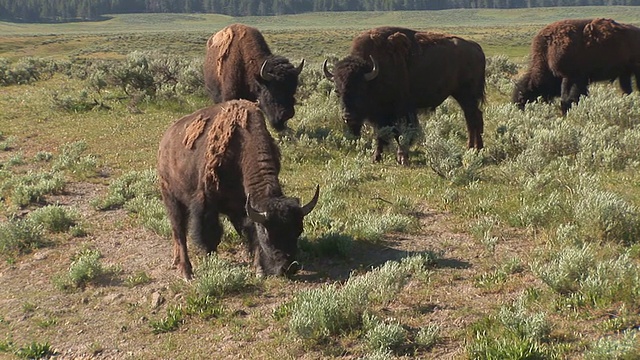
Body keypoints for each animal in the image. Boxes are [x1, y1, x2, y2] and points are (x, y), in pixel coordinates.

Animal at [157, 99, 320, 282]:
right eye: (268, 234)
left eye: (299, 230)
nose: (289, 268)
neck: (242, 147)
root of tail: (165, 141)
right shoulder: (207, 203)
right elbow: (211, 235)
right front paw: (211, 260)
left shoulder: (245, 207)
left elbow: (250, 235)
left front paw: (259, 270)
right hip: (171, 198)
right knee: (179, 231)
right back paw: (186, 272)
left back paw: (176, 261)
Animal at [324, 26, 484, 165]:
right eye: (337, 92)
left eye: (361, 89)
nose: (348, 117)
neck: (374, 73)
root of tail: (476, 47)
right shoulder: (381, 115)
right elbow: (381, 134)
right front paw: (376, 157)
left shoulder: (402, 110)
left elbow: (401, 133)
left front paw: (402, 158)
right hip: (462, 96)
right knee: (473, 117)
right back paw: (475, 149)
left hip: (467, 95)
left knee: (473, 118)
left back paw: (473, 149)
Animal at [512, 18, 640, 114]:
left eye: (522, 98)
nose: (519, 110)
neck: (547, 50)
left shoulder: (571, 77)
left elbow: (567, 99)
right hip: (625, 74)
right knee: (627, 90)